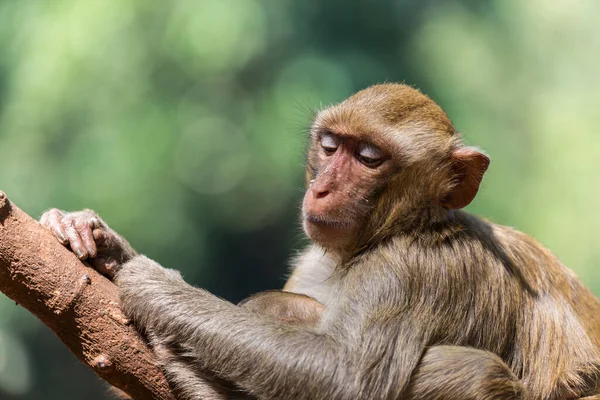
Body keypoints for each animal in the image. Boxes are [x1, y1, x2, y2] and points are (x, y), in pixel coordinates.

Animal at [39, 83, 600, 398]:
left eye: (369, 157)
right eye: (329, 146)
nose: (322, 187)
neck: (399, 229)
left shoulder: (412, 270)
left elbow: (340, 376)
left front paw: (156, 285)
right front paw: (106, 246)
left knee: (477, 371)